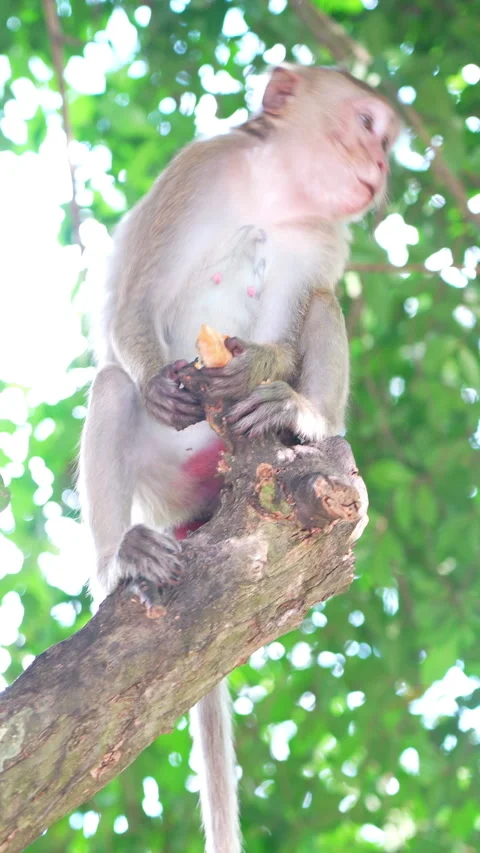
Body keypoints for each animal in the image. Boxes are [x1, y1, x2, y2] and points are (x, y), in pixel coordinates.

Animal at [79, 65, 401, 853]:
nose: (380, 165)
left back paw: (300, 418)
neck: (277, 193)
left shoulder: (325, 236)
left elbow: (299, 314)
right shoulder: (200, 169)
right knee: (110, 387)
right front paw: (160, 381)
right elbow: (133, 300)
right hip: (159, 480)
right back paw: (118, 558)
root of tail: (200, 503)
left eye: (386, 139)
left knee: (325, 305)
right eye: (368, 125)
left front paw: (259, 369)